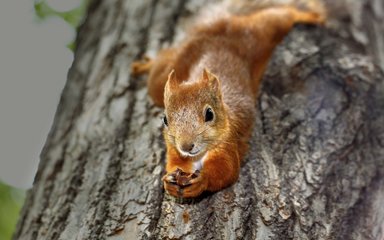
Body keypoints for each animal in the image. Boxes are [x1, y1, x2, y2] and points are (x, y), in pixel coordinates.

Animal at [132, 5, 324, 197]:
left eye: (209, 114)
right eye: (165, 119)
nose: (186, 146)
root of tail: (216, 29)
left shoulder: (228, 142)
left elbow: (227, 171)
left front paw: (202, 181)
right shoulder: (174, 149)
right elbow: (176, 164)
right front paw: (169, 181)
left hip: (264, 30)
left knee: (282, 14)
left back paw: (311, 14)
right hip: (165, 77)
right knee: (164, 61)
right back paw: (146, 64)